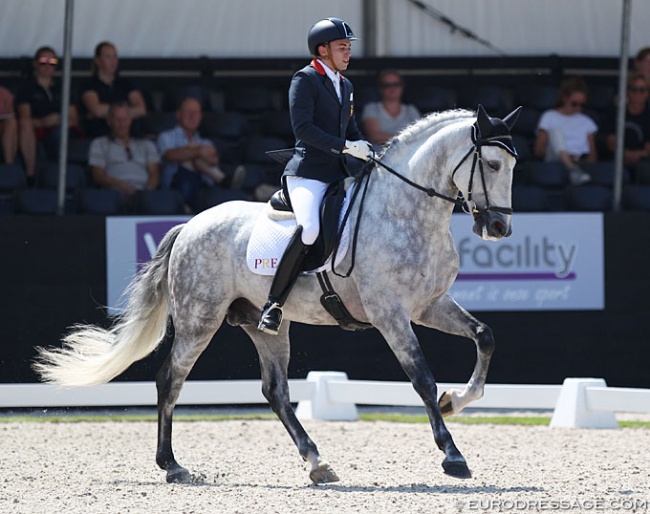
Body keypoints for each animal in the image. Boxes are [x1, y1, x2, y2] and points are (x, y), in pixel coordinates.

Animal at [35, 105, 520, 484]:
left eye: (513, 167)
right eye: (493, 165)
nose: (498, 227)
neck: (406, 211)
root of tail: (189, 225)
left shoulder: (429, 306)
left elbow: (486, 336)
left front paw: (456, 401)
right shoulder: (391, 314)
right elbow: (421, 378)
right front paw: (453, 456)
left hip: (264, 322)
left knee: (276, 391)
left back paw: (317, 463)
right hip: (199, 320)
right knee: (170, 379)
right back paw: (172, 466)